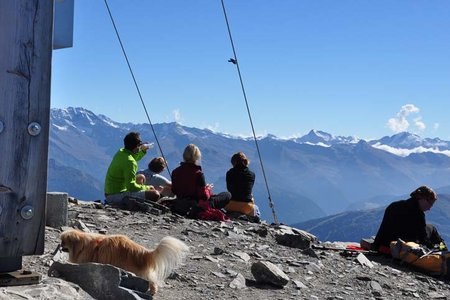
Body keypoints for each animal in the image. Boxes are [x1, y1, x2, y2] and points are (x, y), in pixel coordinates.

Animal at [59, 230, 188, 296]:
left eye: (64, 242)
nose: (59, 245)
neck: (81, 245)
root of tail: (142, 252)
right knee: (152, 281)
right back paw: (152, 292)